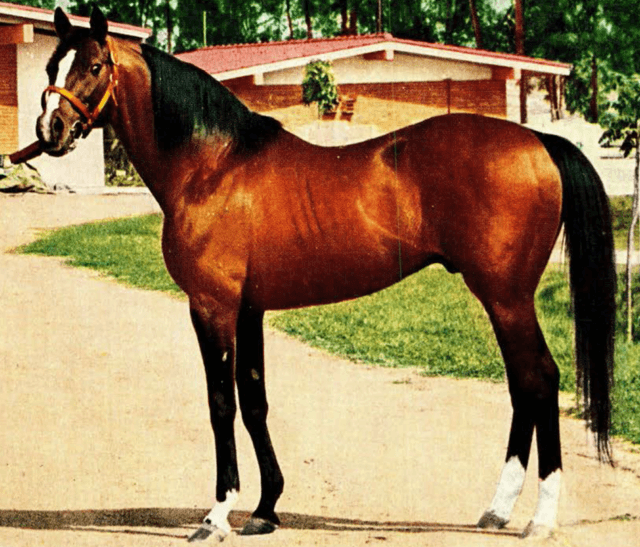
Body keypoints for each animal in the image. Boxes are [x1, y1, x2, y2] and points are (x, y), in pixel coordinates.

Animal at [30, 7, 616, 542]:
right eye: (53, 65)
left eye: (95, 65)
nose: (50, 129)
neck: (213, 165)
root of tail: (540, 142)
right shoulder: (249, 308)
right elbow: (254, 401)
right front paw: (266, 509)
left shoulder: (212, 307)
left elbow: (221, 404)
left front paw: (217, 515)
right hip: (504, 299)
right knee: (523, 385)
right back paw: (497, 509)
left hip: (506, 297)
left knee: (540, 378)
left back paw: (540, 518)